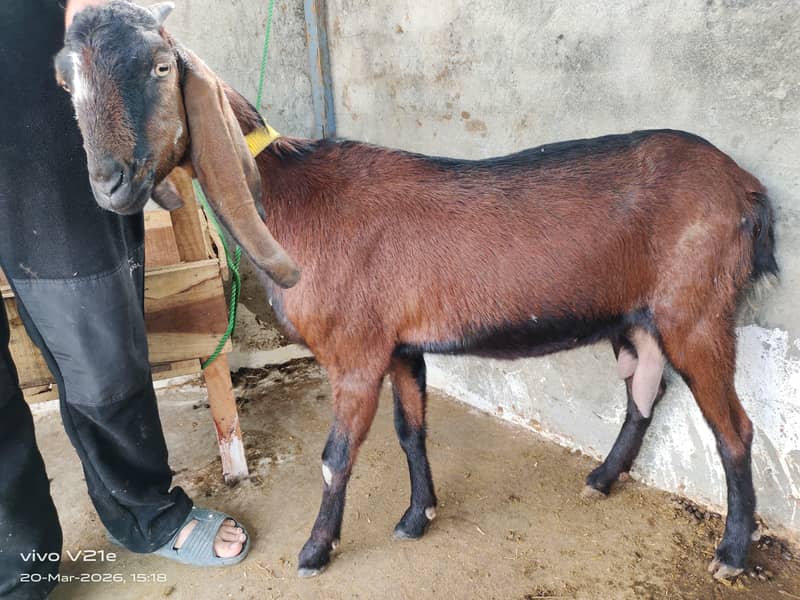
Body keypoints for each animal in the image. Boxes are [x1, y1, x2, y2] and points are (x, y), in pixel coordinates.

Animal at [56, 1, 778, 580]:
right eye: (69, 80)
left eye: (160, 67)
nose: (108, 183)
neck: (290, 194)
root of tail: (747, 189)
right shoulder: (400, 346)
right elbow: (411, 432)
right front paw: (416, 516)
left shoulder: (354, 353)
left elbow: (335, 458)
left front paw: (315, 552)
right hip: (637, 316)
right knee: (644, 389)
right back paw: (602, 479)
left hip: (698, 311)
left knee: (734, 429)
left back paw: (731, 554)